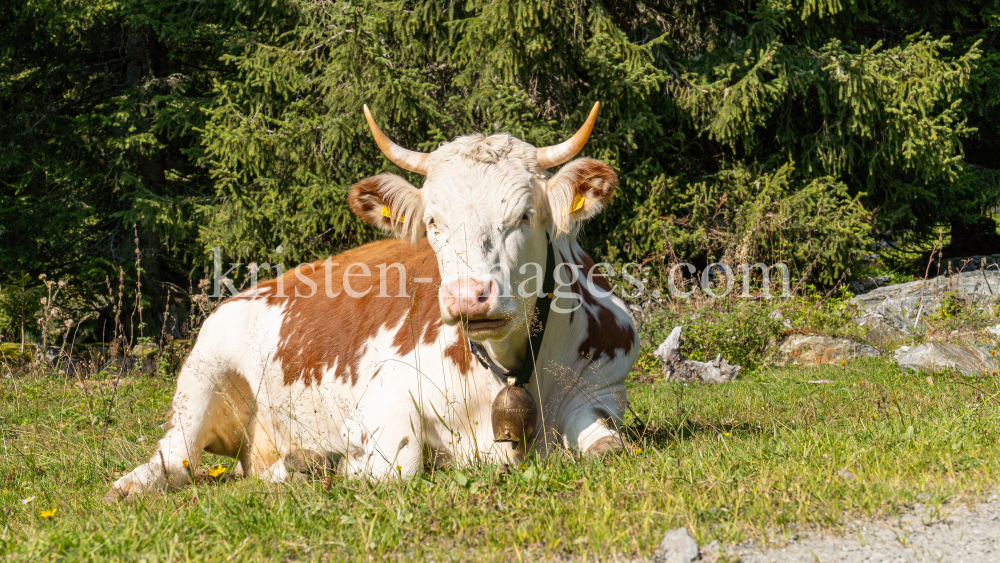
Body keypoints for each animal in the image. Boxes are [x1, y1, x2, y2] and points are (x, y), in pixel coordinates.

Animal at [105, 100, 636, 498]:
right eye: (433, 222)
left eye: (524, 214)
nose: (468, 298)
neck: (505, 364)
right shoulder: (384, 395)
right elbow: (398, 464)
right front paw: (331, 464)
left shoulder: (602, 389)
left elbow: (609, 448)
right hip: (203, 373)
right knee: (174, 455)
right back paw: (134, 485)